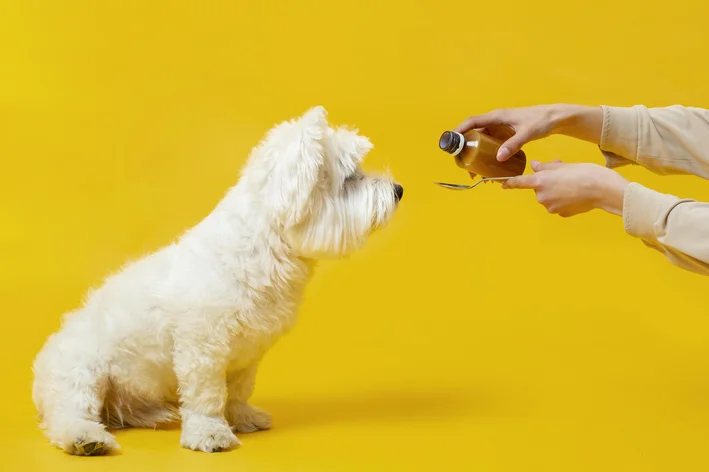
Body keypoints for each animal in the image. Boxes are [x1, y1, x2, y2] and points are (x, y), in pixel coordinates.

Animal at [31, 107, 404, 454]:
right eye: (351, 177)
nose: (399, 189)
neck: (261, 251)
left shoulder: (249, 353)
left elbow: (238, 391)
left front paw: (242, 417)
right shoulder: (202, 349)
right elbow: (207, 395)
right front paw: (210, 432)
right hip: (82, 371)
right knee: (69, 413)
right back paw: (86, 438)